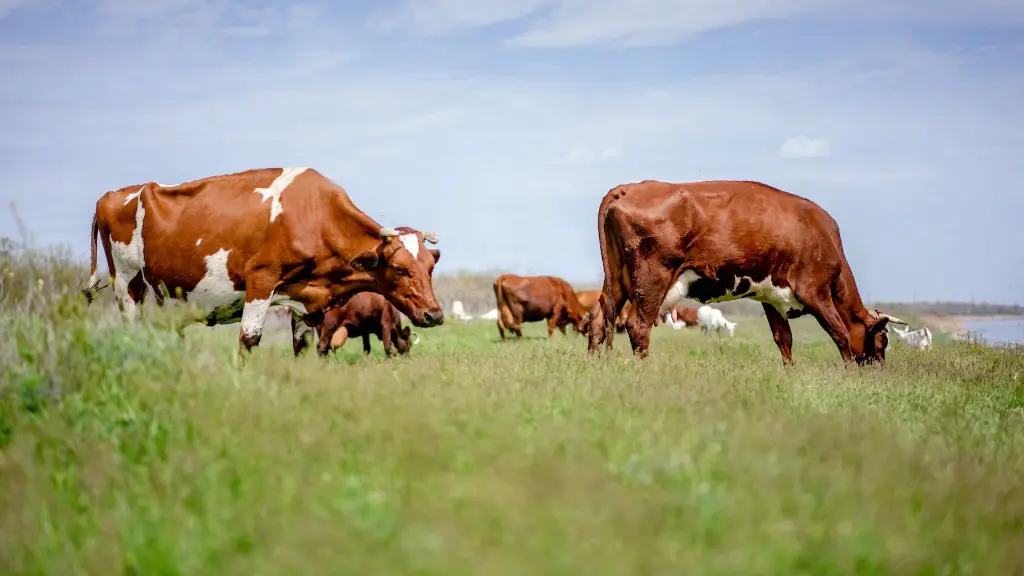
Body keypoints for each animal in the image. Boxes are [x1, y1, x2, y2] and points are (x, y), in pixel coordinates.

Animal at [80, 163, 444, 358]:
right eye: (399, 268)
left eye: (429, 268)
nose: (435, 314)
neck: (315, 215)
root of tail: (110, 195)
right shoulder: (261, 278)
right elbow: (248, 342)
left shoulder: (305, 299)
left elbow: (302, 346)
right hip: (126, 283)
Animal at [589, 178, 909, 362]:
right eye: (882, 341)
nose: (878, 371)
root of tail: (630, 187)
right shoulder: (815, 292)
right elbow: (840, 333)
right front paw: (849, 374)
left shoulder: (771, 298)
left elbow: (784, 341)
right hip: (652, 279)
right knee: (637, 325)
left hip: (617, 279)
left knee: (599, 319)